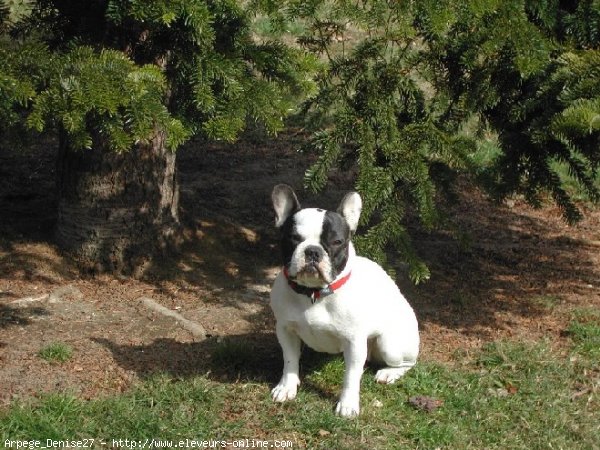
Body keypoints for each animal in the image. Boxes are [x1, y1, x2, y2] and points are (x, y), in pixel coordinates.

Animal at [270, 185, 420, 416]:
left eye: (336, 242)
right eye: (293, 238)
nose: (312, 251)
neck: (314, 294)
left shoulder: (354, 342)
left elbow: (351, 377)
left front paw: (348, 404)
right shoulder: (285, 330)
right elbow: (290, 360)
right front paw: (287, 387)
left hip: (390, 345)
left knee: (408, 363)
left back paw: (388, 373)